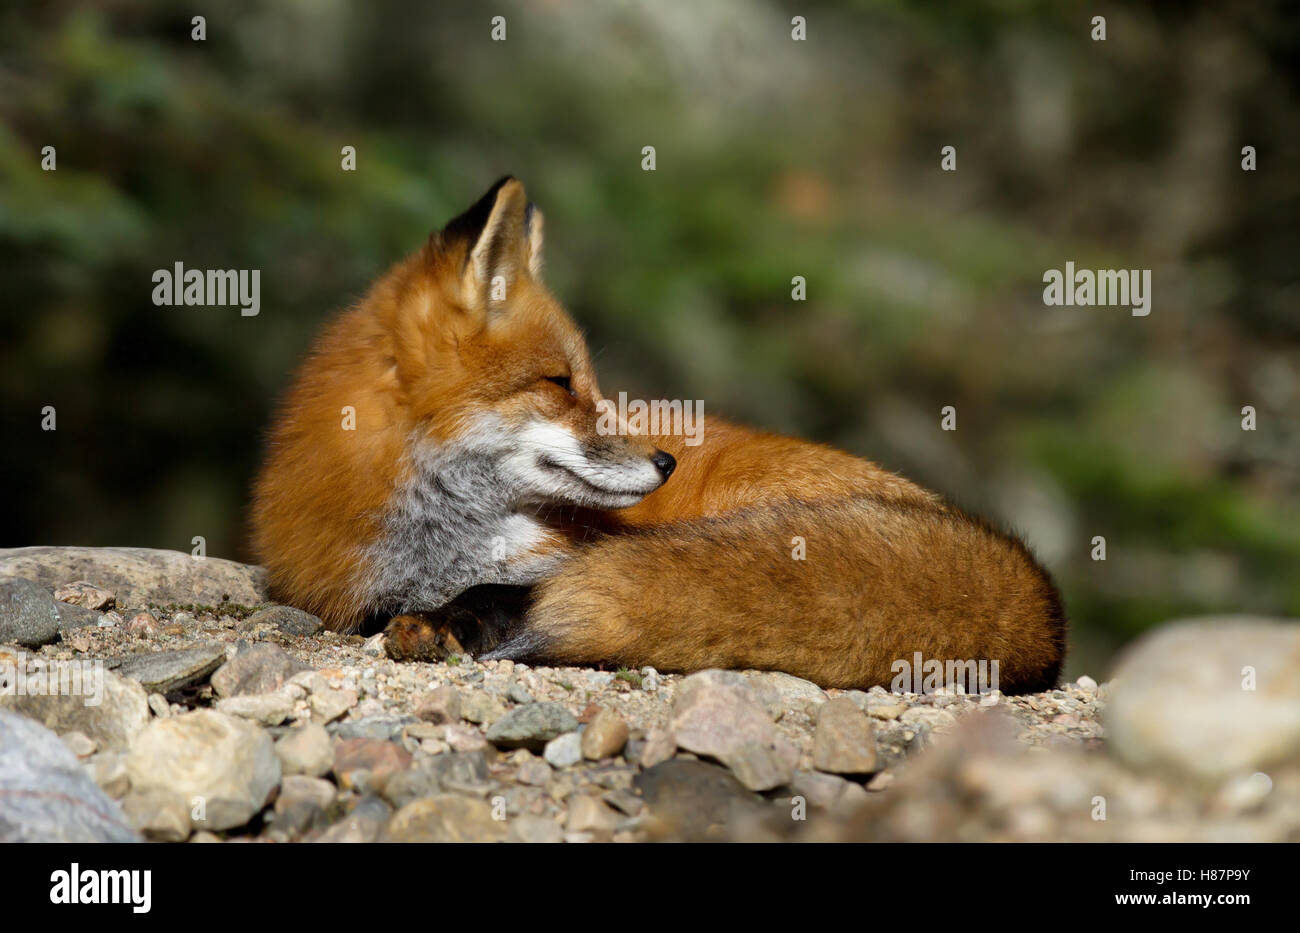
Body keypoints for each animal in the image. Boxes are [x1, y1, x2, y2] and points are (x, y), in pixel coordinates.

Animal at [251, 177, 1066, 693]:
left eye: (589, 381)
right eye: (562, 383)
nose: (667, 460)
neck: (439, 542)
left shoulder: (558, 560)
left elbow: (507, 589)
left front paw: (455, 621)